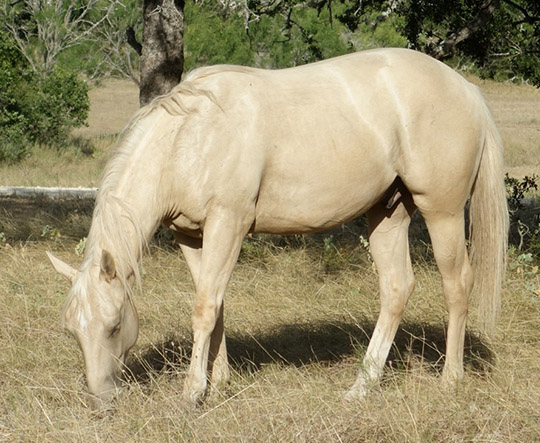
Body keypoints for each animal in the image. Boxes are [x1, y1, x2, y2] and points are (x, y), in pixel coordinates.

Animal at [48, 47, 508, 406]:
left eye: (113, 326)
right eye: (72, 331)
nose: (102, 399)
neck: (189, 137)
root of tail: (464, 88)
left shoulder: (228, 225)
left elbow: (203, 308)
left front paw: (192, 392)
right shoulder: (192, 236)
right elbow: (215, 304)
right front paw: (218, 383)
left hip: (442, 212)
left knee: (456, 285)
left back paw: (450, 380)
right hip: (387, 213)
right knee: (396, 288)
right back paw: (362, 386)